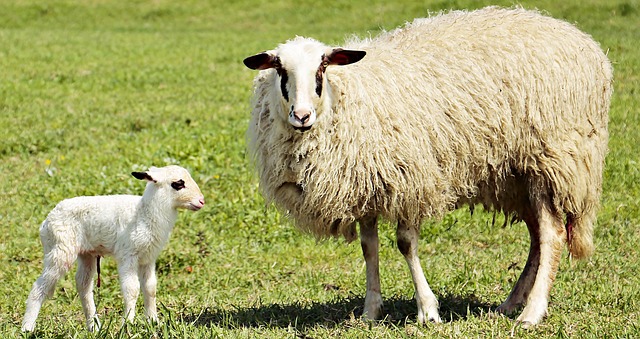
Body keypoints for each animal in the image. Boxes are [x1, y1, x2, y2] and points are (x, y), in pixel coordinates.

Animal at [21, 166, 205, 334]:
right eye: (178, 184)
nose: (201, 201)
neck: (144, 213)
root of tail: (46, 222)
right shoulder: (128, 255)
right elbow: (132, 289)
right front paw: (127, 325)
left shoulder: (148, 258)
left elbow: (150, 288)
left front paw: (153, 322)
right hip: (60, 249)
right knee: (40, 286)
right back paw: (27, 328)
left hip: (86, 253)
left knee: (83, 285)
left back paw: (94, 327)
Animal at [242, 6, 612, 328]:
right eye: (280, 70)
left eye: (322, 68)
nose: (301, 116)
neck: (348, 96)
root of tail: (583, 41)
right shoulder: (367, 183)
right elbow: (368, 247)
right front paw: (370, 311)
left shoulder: (410, 178)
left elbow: (406, 244)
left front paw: (428, 310)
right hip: (516, 174)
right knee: (537, 235)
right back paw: (510, 303)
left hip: (553, 159)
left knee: (551, 235)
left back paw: (531, 312)